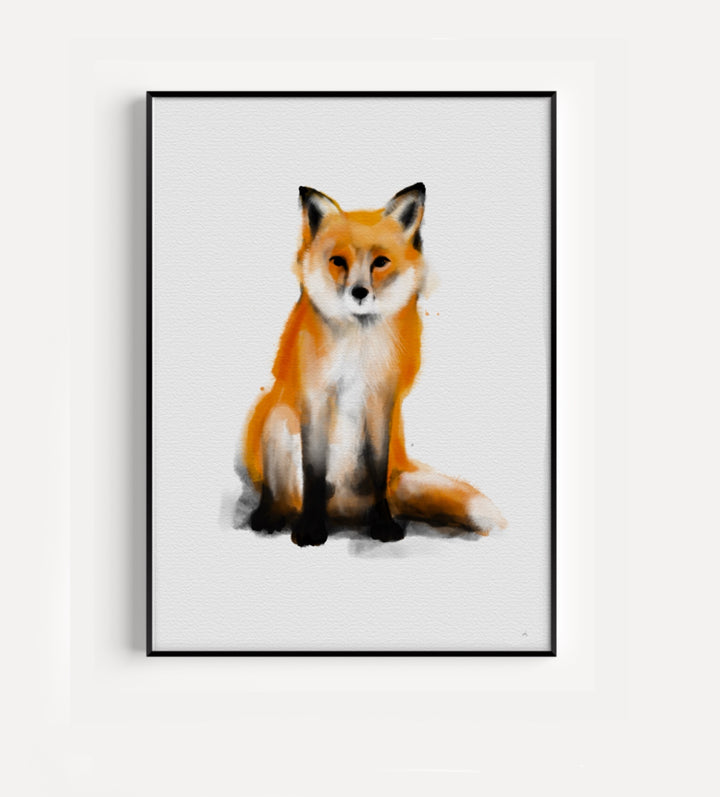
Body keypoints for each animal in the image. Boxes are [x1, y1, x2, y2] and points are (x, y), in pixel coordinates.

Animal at [242, 183, 507, 547]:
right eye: (338, 261)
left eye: (380, 262)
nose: (359, 292)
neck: (358, 349)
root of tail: (342, 508)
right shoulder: (316, 398)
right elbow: (313, 471)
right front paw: (310, 529)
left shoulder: (381, 400)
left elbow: (377, 470)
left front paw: (383, 526)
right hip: (278, 421)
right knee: (283, 493)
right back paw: (271, 516)